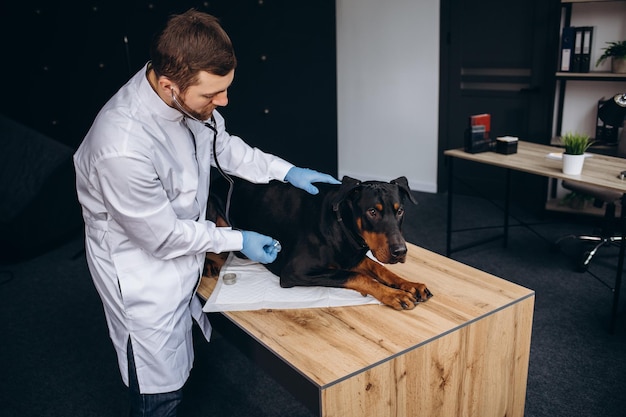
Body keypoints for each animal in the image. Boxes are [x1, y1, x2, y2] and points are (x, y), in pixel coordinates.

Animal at [207, 174, 432, 308]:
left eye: (400, 211)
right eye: (372, 212)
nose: (400, 252)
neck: (342, 225)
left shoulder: (352, 256)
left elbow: (380, 268)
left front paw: (409, 285)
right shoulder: (294, 271)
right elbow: (358, 276)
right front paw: (393, 295)